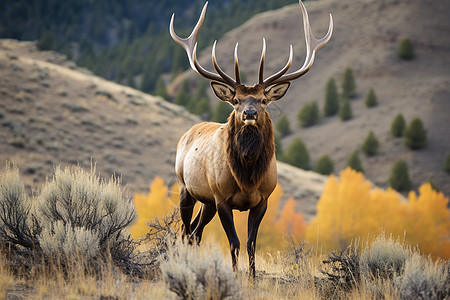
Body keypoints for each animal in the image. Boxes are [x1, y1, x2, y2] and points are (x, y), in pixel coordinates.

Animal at [171, 0, 332, 278]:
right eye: (235, 100)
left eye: (264, 99)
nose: (249, 113)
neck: (247, 177)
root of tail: (188, 132)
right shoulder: (222, 198)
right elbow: (234, 243)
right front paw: (235, 276)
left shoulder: (262, 200)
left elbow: (250, 243)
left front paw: (253, 279)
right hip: (185, 187)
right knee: (184, 231)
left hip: (206, 200)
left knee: (195, 233)